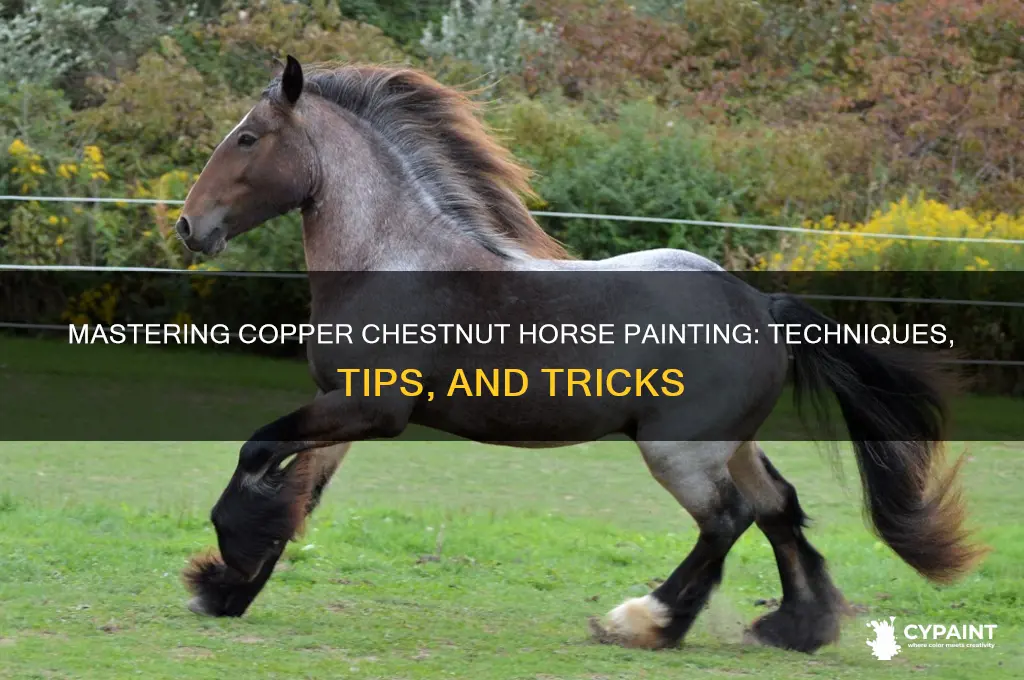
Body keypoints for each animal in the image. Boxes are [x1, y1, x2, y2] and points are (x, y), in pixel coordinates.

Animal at [177, 56, 986, 654]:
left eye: (248, 137)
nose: (189, 226)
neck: (394, 259)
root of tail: (762, 308)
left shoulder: (367, 408)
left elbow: (258, 454)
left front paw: (229, 558)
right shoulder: (341, 410)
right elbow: (297, 495)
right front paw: (229, 588)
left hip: (676, 450)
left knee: (726, 520)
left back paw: (646, 623)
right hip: (729, 442)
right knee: (776, 507)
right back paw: (795, 628)